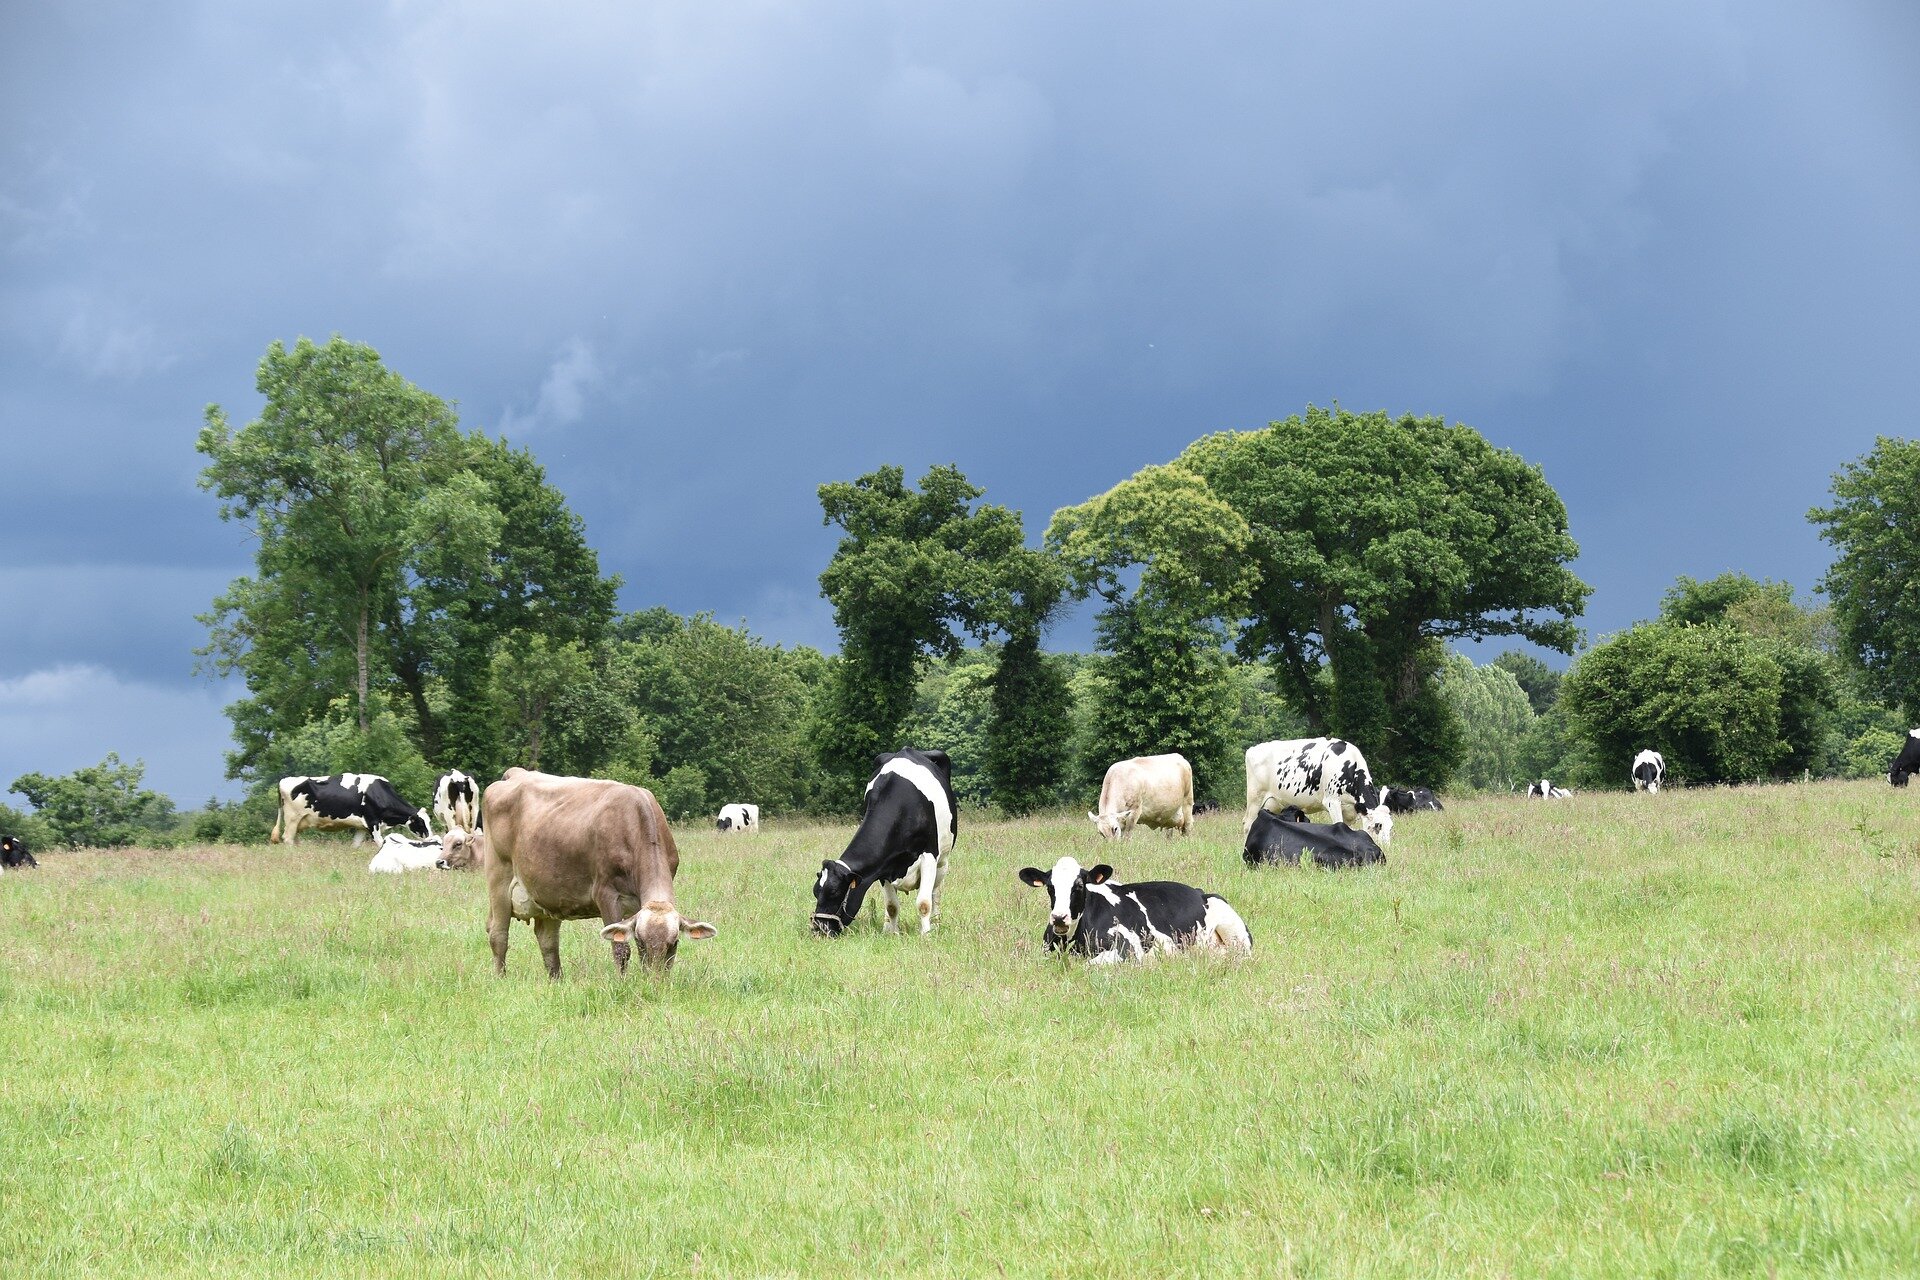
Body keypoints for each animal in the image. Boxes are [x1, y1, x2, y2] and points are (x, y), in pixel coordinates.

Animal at [268, 773, 432, 846]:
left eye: (429, 821)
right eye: (420, 822)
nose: (431, 838)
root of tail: (284, 780)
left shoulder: (361, 827)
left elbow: (356, 845)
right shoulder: (373, 823)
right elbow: (381, 844)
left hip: (299, 821)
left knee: (294, 839)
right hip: (292, 818)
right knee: (287, 838)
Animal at [479, 768, 715, 975]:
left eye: (674, 942)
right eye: (640, 941)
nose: (655, 979)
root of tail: (516, 773)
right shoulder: (606, 894)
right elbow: (621, 950)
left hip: (547, 892)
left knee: (547, 939)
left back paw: (556, 980)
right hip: (498, 879)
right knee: (499, 934)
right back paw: (500, 978)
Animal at [811, 749, 955, 938]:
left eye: (835, 892)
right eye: (816, 892)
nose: (819, 929)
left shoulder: (929, 856)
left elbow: (924, 903)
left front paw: (926, 935)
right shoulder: (884, 867)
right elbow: (892, 906)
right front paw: (892, 933)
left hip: (943, 861)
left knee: (936, 892)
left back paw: (937, 924)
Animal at [1016, 857, 1252, 964]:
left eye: (1079, 886)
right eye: (1050, 887)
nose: (1059, 917)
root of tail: (1199, 891)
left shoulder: (1127, 948)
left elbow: (1090, 965)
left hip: (1236, 933)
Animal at [1243, 737, 1393, 848]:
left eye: (1391, 827)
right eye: (1377, 825)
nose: (1386, 848)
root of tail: (1252, 749)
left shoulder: (1349, 810)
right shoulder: (1332, 801)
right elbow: (1339, 824)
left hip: (1273, 803)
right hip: (1255, 797)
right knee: (1247, 824)